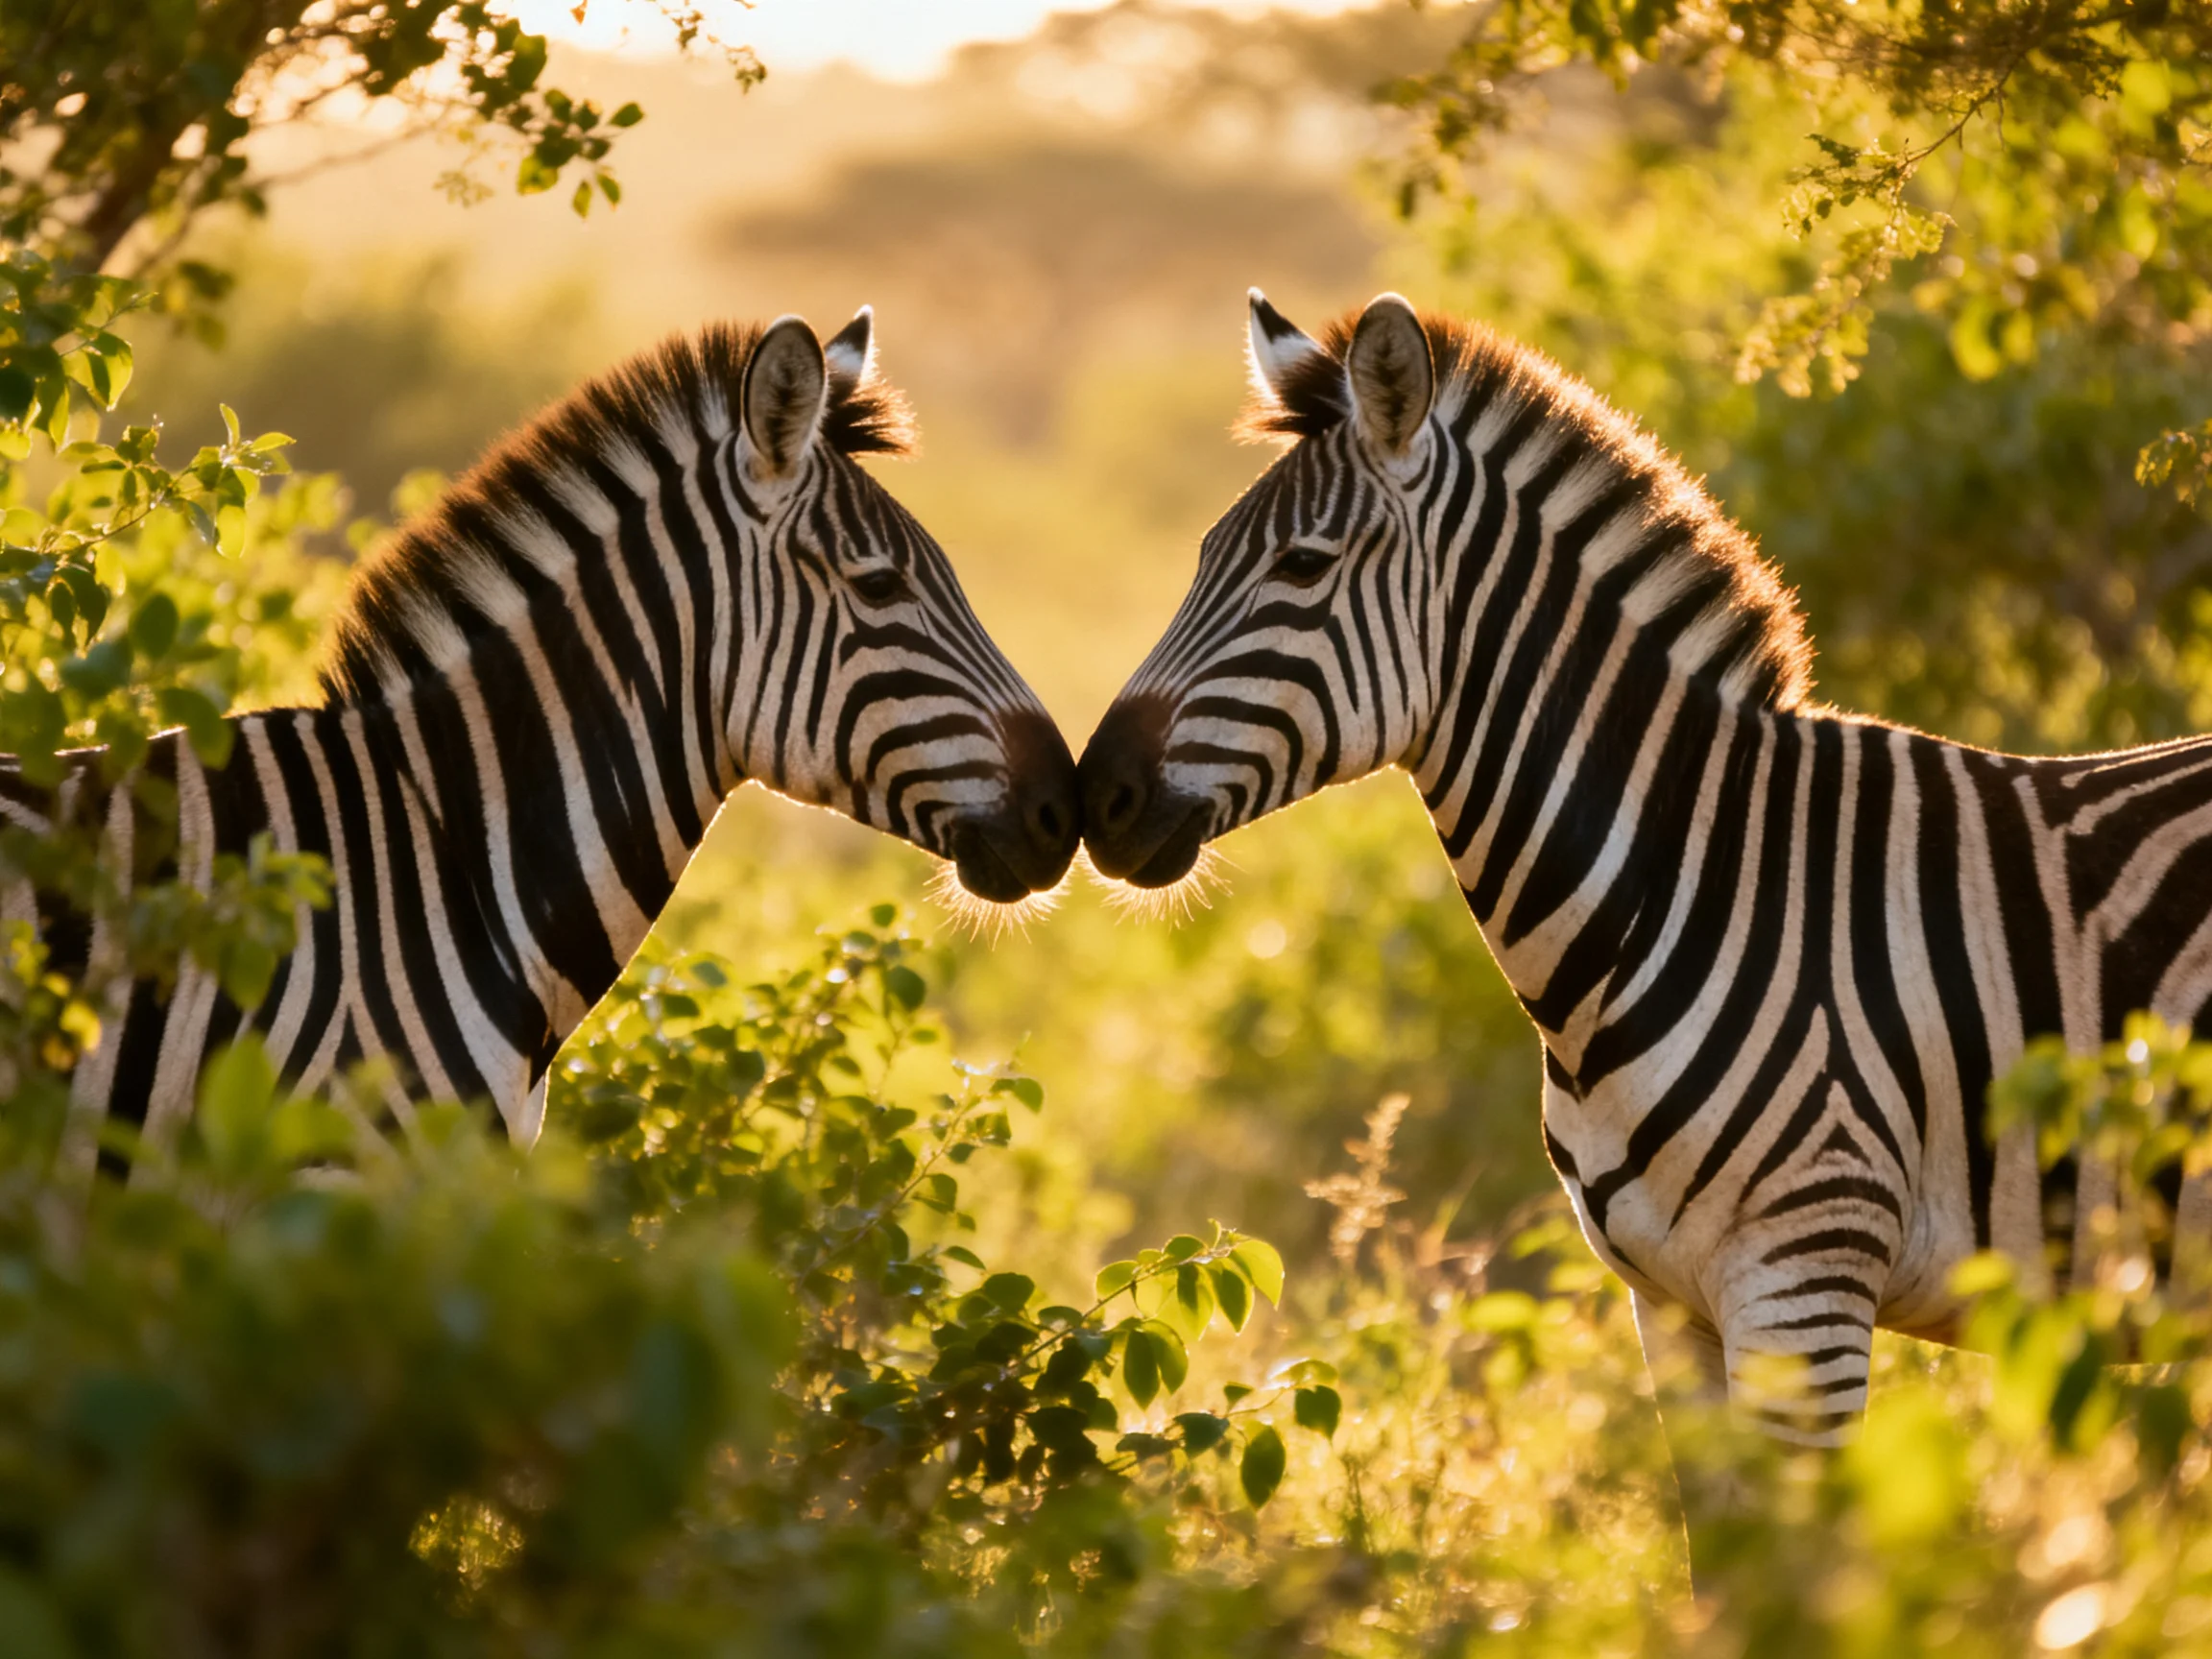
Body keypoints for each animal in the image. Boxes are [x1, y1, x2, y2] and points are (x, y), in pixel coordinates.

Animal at [1077, 288, 2212, 1449]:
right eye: (1202, 555)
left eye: (1302, 566)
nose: (1094, 796)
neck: (1687, 887)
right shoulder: (1665, 1304)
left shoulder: (1805, 1279)